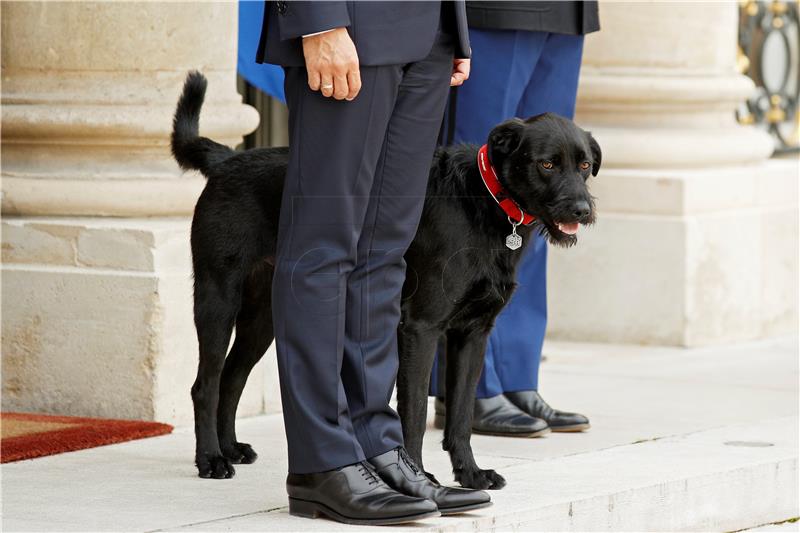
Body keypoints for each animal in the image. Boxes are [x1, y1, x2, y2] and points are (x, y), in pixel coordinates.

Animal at [175, 72, 600, 488]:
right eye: (546, 165)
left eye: (583, 166)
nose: (582, 209)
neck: (483, 201)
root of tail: (228, 159)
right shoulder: (420, 328)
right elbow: (413, 414)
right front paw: (421, 478)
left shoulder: (472, 333)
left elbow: (461, 414)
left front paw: (470, 473)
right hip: (217, 298)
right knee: (205, 385)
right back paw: (211, 459)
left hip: (263, 318)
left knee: (231, 378)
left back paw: (230, 448)